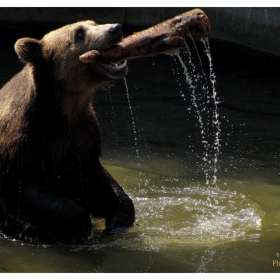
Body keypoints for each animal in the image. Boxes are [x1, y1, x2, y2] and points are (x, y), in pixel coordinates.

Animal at [0, 20, 135, 243]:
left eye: (93, 23)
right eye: (79, 33)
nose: (115, 28)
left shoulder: (81, 138)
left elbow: (96, 180)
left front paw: (117, 221)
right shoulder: (23, 148)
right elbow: (31, 197)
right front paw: (79, 226)